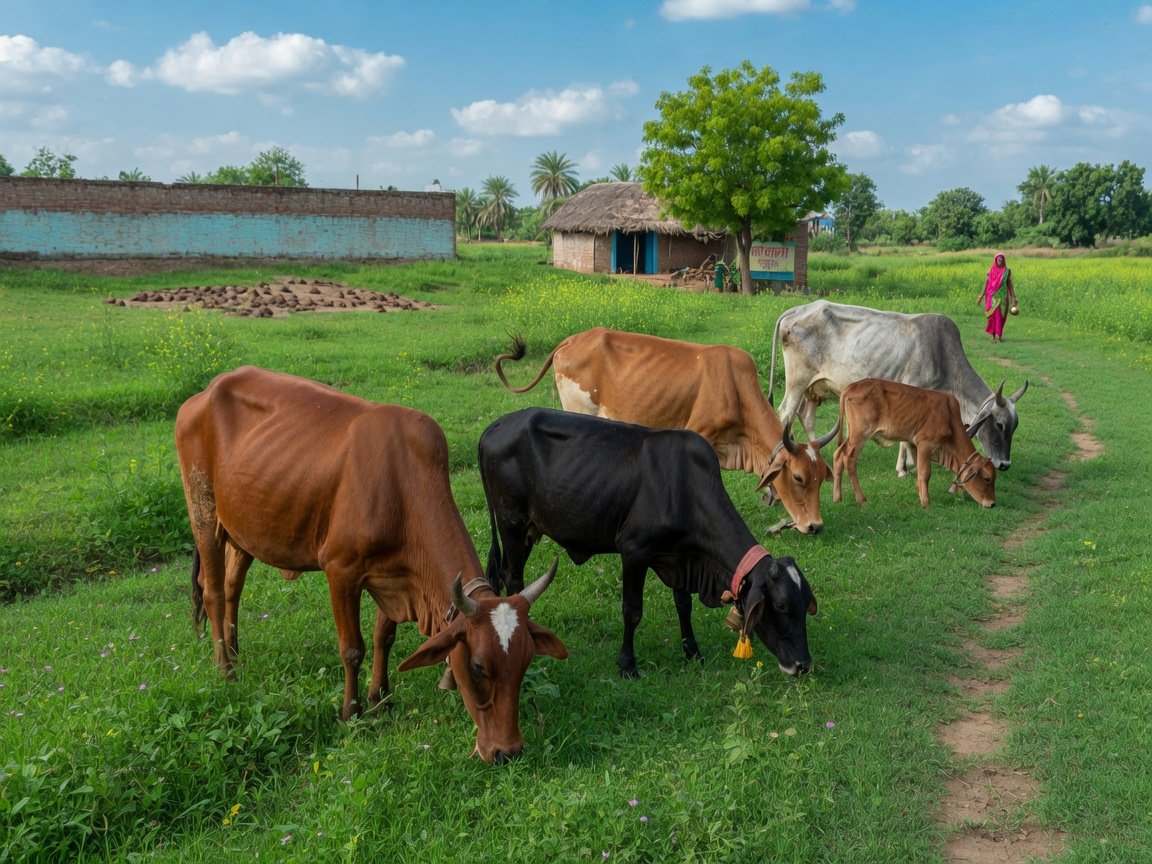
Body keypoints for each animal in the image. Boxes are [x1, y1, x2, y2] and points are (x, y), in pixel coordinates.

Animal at [174, 366, 568, 764]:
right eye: (477, 666)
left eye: (525, 662)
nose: (508, 751)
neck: (403, 485)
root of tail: (204, 393)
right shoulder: (340, 572)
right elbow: (353, 649)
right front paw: (352, 711)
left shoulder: (395, 577)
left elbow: (384, 637)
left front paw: (381, 696)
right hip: (203, 514)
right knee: (212, 594)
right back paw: (225, 668)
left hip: (244, 530)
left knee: (232, 589)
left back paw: (236, 653)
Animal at [478, 407, 818, 679]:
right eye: (781, 606)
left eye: (805, 606)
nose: (802, 665)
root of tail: (494, 426)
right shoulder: (633, 551)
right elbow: (632, 611)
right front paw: (628, 665)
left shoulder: (681, 558)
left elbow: (683, 605)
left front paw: (692, 652)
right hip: (512, 522)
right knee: (513, 578)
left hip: (525, 530)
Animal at [494, 328, 838, 535]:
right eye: (798, 478)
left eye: (822, 476)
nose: (815, 525)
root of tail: (571, 340)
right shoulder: (698, 435)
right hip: (578, 411)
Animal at [768, 300, 1028, 476]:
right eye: (999, 425)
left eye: (1015, 427)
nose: (1005, 465)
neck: (942, 355)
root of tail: (798, 309)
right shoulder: (913, 388)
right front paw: (904, 468)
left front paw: (911, 462)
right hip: (797, 381)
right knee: (785, 413)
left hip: (813, 388)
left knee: (805, 416)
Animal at [832, 378, 997, 509]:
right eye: (987, 478)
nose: (992, 503)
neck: (950, 417)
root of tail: (851, 386)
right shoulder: (925, 444)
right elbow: (925, 473)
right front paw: (925, 503)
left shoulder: (913, 445)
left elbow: (918, 470)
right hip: (860, 435)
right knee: (849, 459)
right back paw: (861, 500)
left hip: (851, 435)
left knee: (838, 455)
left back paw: (837, 498)